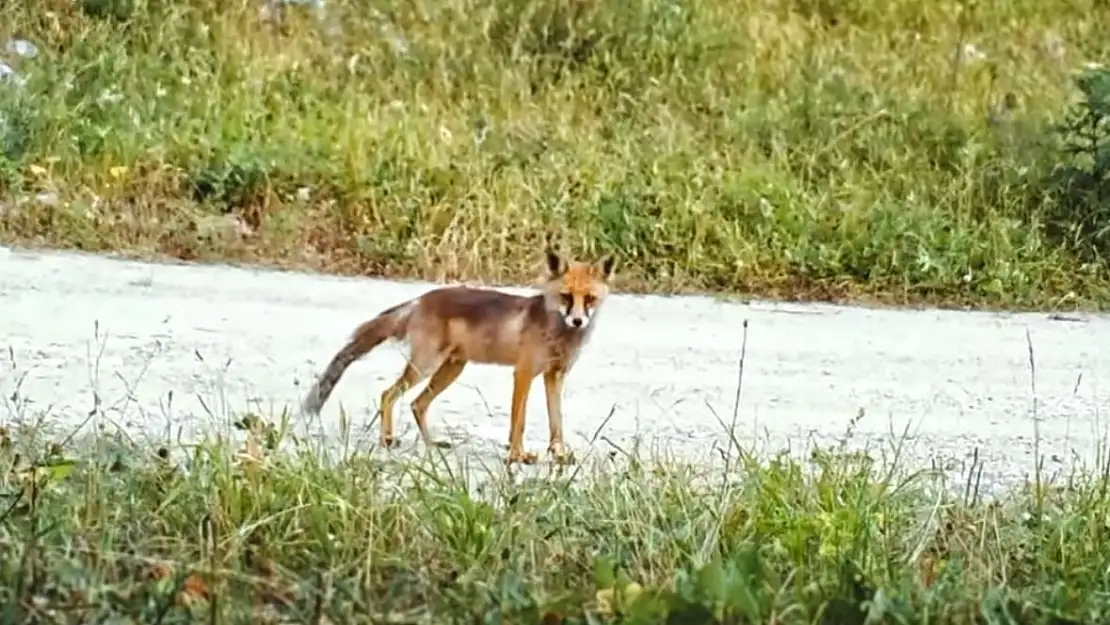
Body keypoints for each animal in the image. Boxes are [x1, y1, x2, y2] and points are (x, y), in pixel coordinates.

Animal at [299, 247, 621, 466]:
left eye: (589, 299)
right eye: (566, 297)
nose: (577, 321)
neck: (557, 333)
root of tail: (421, 299)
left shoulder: (555, 376)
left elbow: (557, 423)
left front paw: (559, 455)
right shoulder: (524, 373)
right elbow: (519, 421)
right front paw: (517, 455)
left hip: (451, 370)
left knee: (417, 404)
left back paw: (430, 444)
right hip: (425, 366)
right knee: (388, 394)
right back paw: (387, 439)